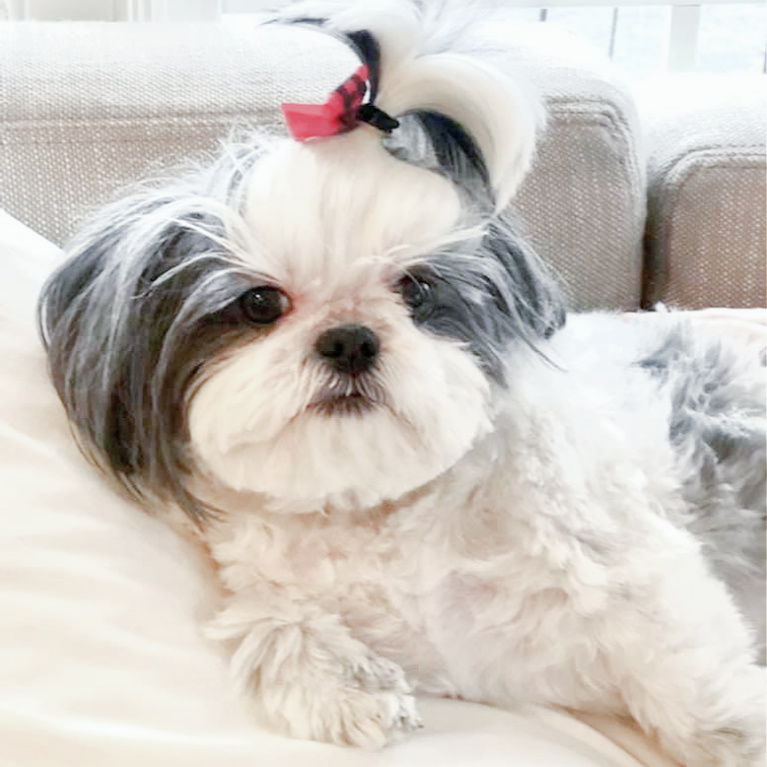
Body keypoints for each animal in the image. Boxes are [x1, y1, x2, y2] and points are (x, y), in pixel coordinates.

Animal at [37, 3, 767, 764]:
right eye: (259, 303)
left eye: (415, 289)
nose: (350, 339)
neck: (377, 513)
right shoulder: (284, 590)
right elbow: (276, 624)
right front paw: (352, 690)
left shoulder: (636, 568)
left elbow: (696, 675)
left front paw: (732, 731)